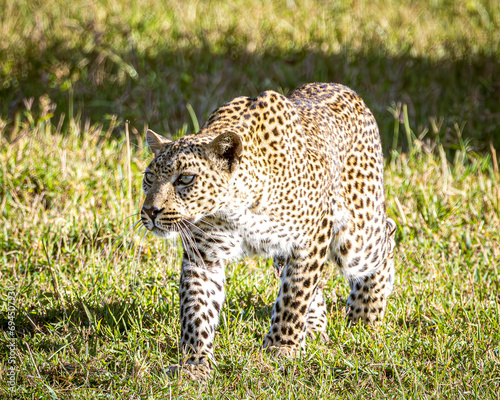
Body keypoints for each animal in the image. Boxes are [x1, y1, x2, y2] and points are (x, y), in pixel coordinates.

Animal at [140, 82, 394, 382]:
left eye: (185, 179)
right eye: (149, 177)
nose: (150, 211)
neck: (235, 208)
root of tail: (342, 88)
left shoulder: (311, 238)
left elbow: (294, 295)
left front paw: (281, 348)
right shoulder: (204, 255)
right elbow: (196, 308)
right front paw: (195, 363)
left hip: (357, 235)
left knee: (385, 236)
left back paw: (365, 315)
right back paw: (315, 328)